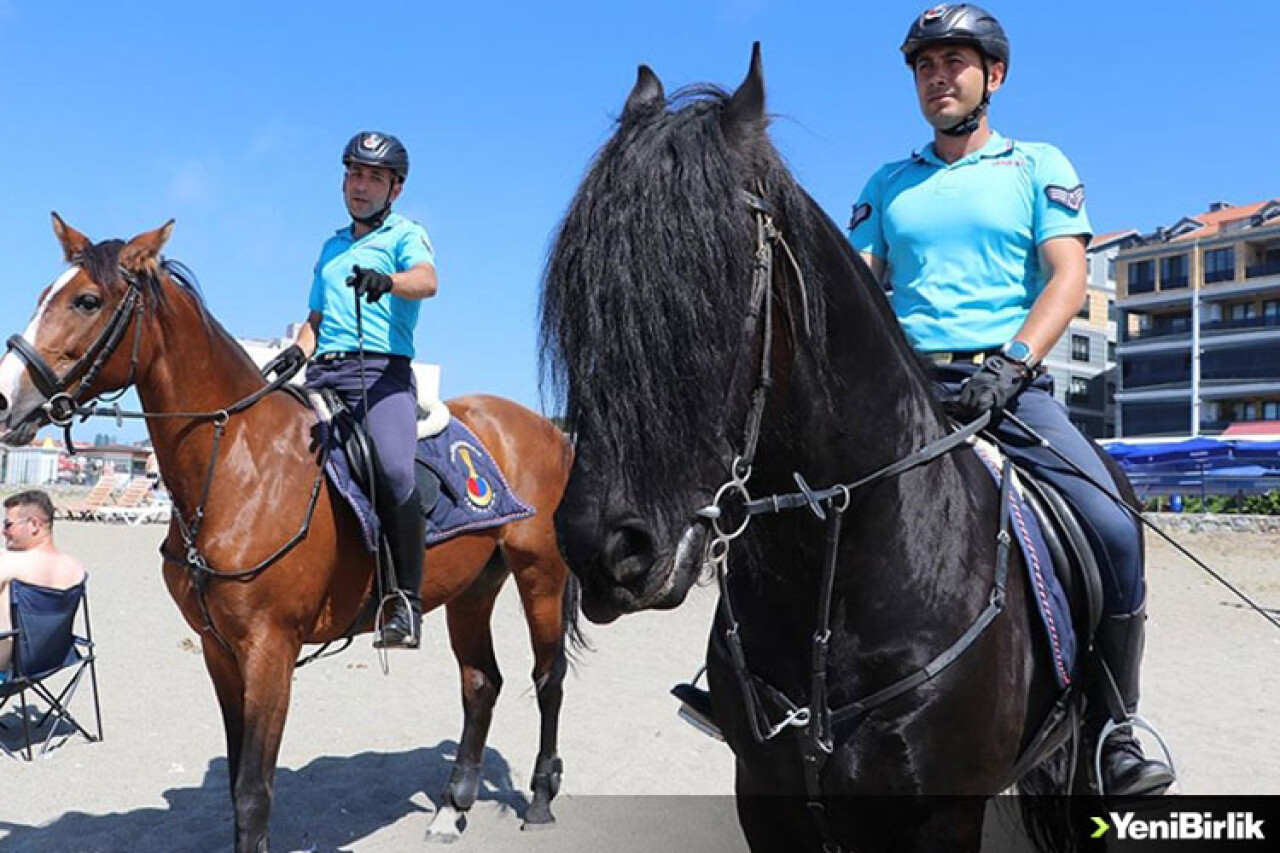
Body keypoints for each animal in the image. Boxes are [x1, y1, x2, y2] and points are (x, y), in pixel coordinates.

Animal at [0, 216, 581, 850]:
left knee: (548, 678)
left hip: (540, 574)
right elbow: (237, 783)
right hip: (474, 588)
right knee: (481, 683)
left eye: (86, 300)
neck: (238, 465)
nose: (4, 402)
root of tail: (546, 430)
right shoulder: (219, 651)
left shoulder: (269, 651)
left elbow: (254, 793)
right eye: (43, 297)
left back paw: (541, 798)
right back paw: (452, 807)